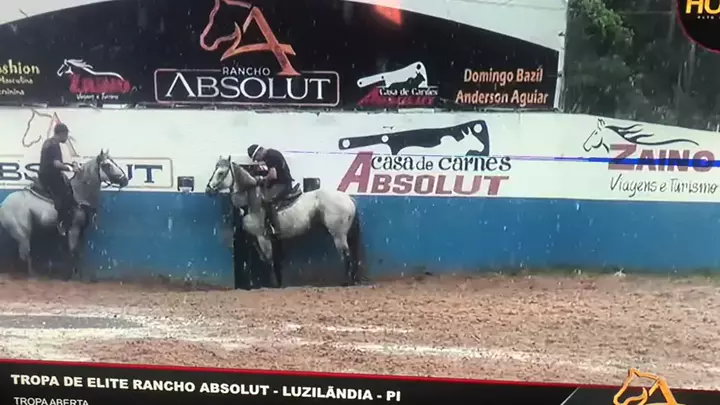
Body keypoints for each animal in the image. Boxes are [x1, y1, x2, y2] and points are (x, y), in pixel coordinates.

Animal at [0, 150, 128, 280]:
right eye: (107, 165)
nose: (125, 180)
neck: (79, 195)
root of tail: (3, 204)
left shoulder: (81, 230)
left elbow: (79, 252)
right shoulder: (73, 229)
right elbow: (72, 250)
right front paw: (70, 276)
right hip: (23, 233)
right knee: (26, 254)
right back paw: (33, 275)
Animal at [204, 156, 361, 287]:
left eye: (221, 173)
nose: (208, 190)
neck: (252, 200)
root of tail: (348, 198)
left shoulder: (263, 237)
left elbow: (269, 259)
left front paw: (274, 284)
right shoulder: (263, 239)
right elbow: (271, 258)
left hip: (338, 234)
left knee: (346, 255)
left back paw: (346, 281)